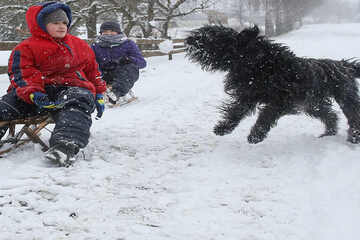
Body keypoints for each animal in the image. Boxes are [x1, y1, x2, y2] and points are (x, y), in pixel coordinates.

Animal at [187, 25, 360, 143]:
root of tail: (344, 65)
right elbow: (235, 111)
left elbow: (266, 115)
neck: (260, 63)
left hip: (345, 97)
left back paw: (354, 137)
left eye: (218, 36)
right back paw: (328, 133)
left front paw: (256, 135)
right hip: (312, 104)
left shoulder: (281, 101)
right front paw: (223, 128)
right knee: (330, 115)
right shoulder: (248, 96)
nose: (189, 40)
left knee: (353, 116)